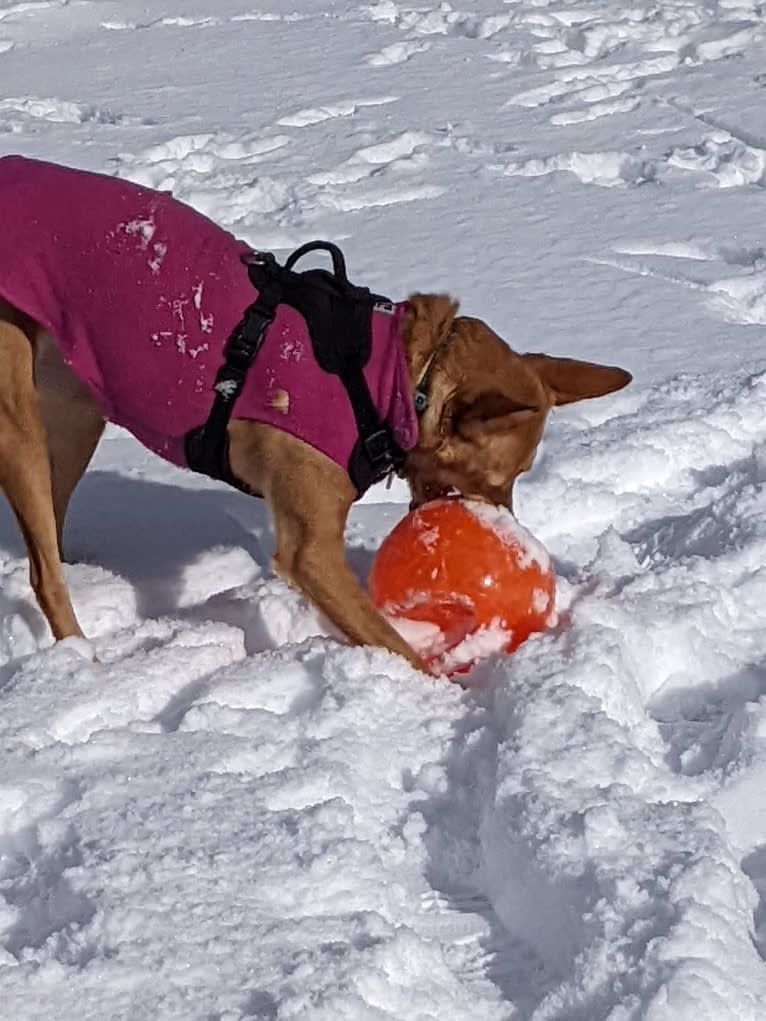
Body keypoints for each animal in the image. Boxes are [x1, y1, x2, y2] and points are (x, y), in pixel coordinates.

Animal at [0, 155, 633, 669]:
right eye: (501, 478)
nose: (511, 537)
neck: (392, 378)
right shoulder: (311, 555)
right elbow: (397, 649)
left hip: (78, 406)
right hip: (20, 423)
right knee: (42, 571)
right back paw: (81, 657)